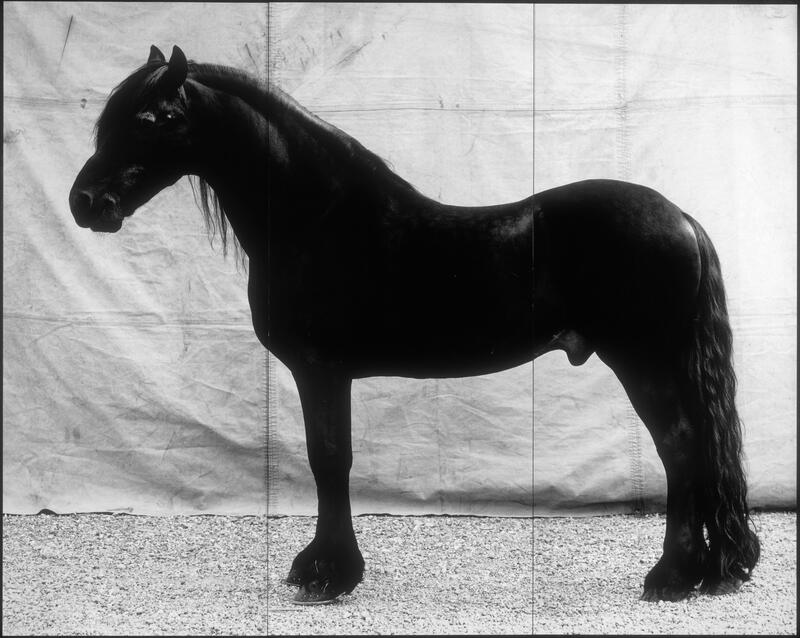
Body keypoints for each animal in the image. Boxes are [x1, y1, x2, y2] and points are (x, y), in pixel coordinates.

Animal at [69, 45, 759, 604]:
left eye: (150, 119)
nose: (86, 203)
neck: (316, 221)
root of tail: (681, 218)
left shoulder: (322, 371)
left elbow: (329, 460)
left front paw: (329, 575)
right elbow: (330, 461)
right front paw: (322, 567)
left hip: (643, 361)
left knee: (680, 447)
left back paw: (672, 577)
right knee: (696, 449)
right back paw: (707, 571)